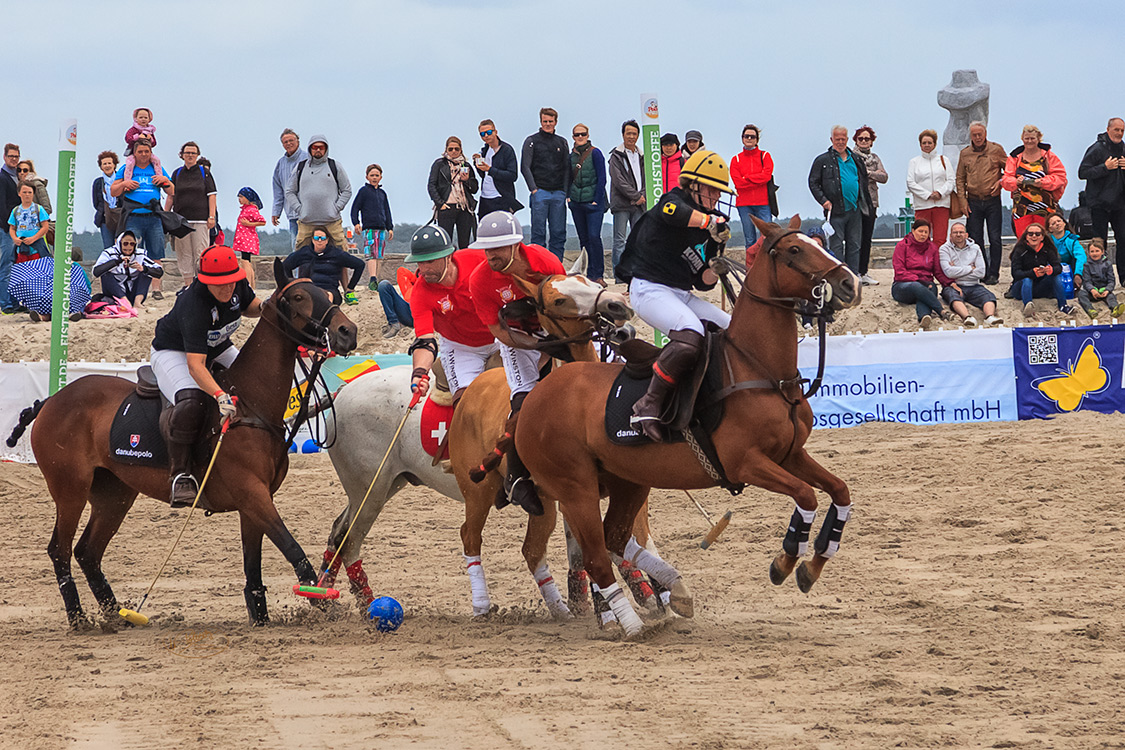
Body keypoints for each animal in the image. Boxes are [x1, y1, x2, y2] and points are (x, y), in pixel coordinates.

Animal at [10, 260, 355, 629]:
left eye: (329, 294)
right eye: (299, 296)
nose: (348, 332)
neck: (252, 405)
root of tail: (50, 401)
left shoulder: (255, 499)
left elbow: (253, 564)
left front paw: (261, 615)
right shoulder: (252, 492)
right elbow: (290, 547)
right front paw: (323, 601)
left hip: (114, 493)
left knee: (87, 551)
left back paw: (117, 615)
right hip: (69, 488)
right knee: (60, 550)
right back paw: (79, 619)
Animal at [515, 213, 859, 638]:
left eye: (818, 243)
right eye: (795, 250)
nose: (850, 284)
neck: (760, 368)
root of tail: (533, 397)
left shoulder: (790, 454)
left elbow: (839, 491)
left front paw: (813, 564)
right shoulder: (746, 463)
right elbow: (807, 496)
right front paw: (786, 561)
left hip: (627, 481)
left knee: (615, 539)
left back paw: (674, 592)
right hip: (575, 488)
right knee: (595, 556)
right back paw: (632, 626)